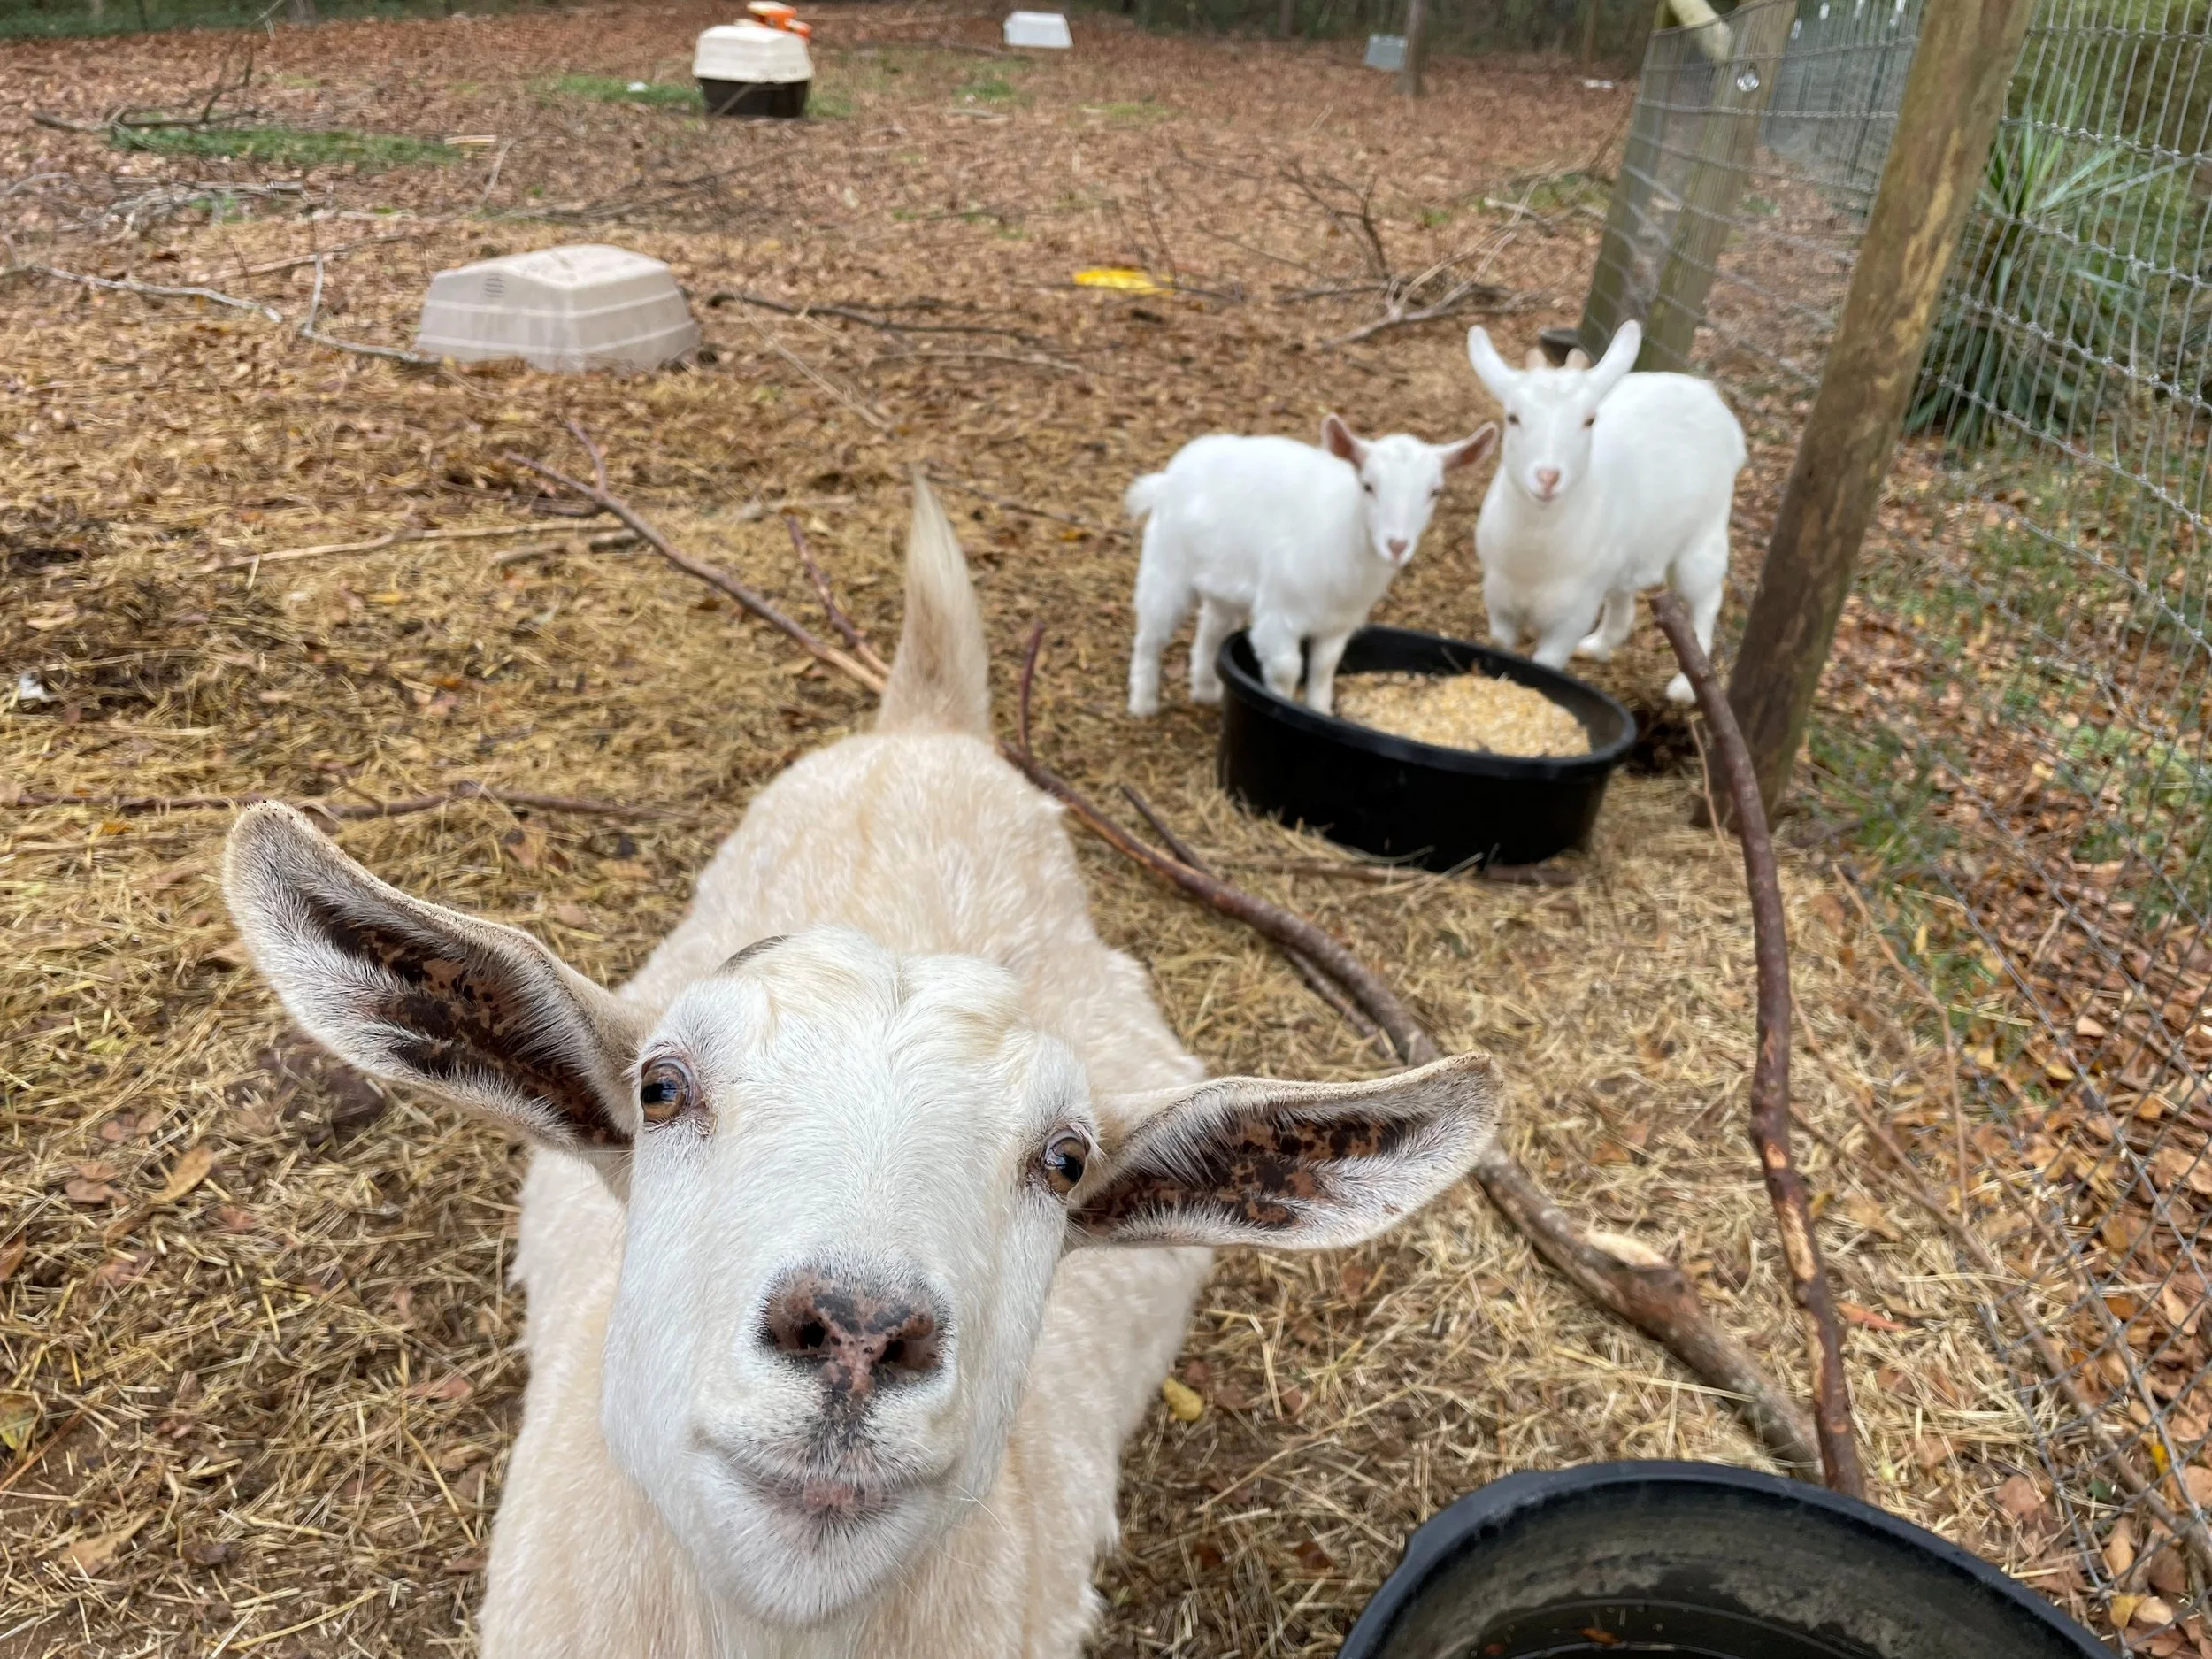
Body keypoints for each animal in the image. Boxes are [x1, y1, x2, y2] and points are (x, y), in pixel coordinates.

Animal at [1125, 414, 1495, 718]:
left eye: (1434, 491)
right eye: (1368, 486)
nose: (1397, 545)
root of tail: (1168, 479)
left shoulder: (1338, 624)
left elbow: (1323, 668)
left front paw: (1319, 712)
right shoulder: (1277, 616)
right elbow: (1288, 669)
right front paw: (1281, 710)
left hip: (1224, 582)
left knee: (1211, 628)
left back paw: (1205, 692)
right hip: (1166, 566)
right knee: (1151, 634)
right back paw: (1143, 704)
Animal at [1466, 319, 1745, 703]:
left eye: (1589, 420)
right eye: (1513, 417)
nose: (1548, 477)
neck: (1534, 558)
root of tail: (1707, 393)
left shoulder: (1573, 614)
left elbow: (1547, 664)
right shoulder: (1498, 597)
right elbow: (1500, 645)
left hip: (1705, 534)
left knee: (1707, 598)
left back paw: (1686, 687)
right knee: (1624, 597)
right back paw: (1597, 646)